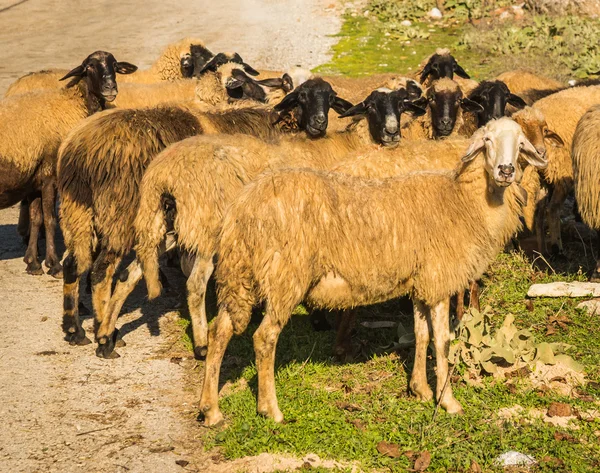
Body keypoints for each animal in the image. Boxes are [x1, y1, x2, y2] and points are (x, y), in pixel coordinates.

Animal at [0, 49, 137, 274]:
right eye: (89, 66)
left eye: (115, 65)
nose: (110, 87)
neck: (72, 104)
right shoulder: (49, 177)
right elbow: (49, 220)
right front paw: (53, 264)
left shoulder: (37, 179)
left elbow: (37, 218)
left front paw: (33, 262)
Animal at [56, 79, 354, 356]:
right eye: (301, 97)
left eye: (330, 98)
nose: (319, 123)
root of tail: (78, 151)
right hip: (121, 214)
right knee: (100, 272)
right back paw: (104, 337)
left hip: (78, 210)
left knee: (72, 263)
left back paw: (76, 329)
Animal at [198, 115, 548, 424]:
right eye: (487, 140)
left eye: (520, 144)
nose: (506, 170)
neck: (463, 201)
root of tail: (243, 205)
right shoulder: (438, 279)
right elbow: (442, 341)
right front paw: (447, 401)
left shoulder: (421, 282)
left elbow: (420, 334)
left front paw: (420, 389)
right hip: (285, 276)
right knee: (264, 337)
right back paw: (270, 409)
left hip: (240, 274)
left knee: (220, 331)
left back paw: (210, 409)